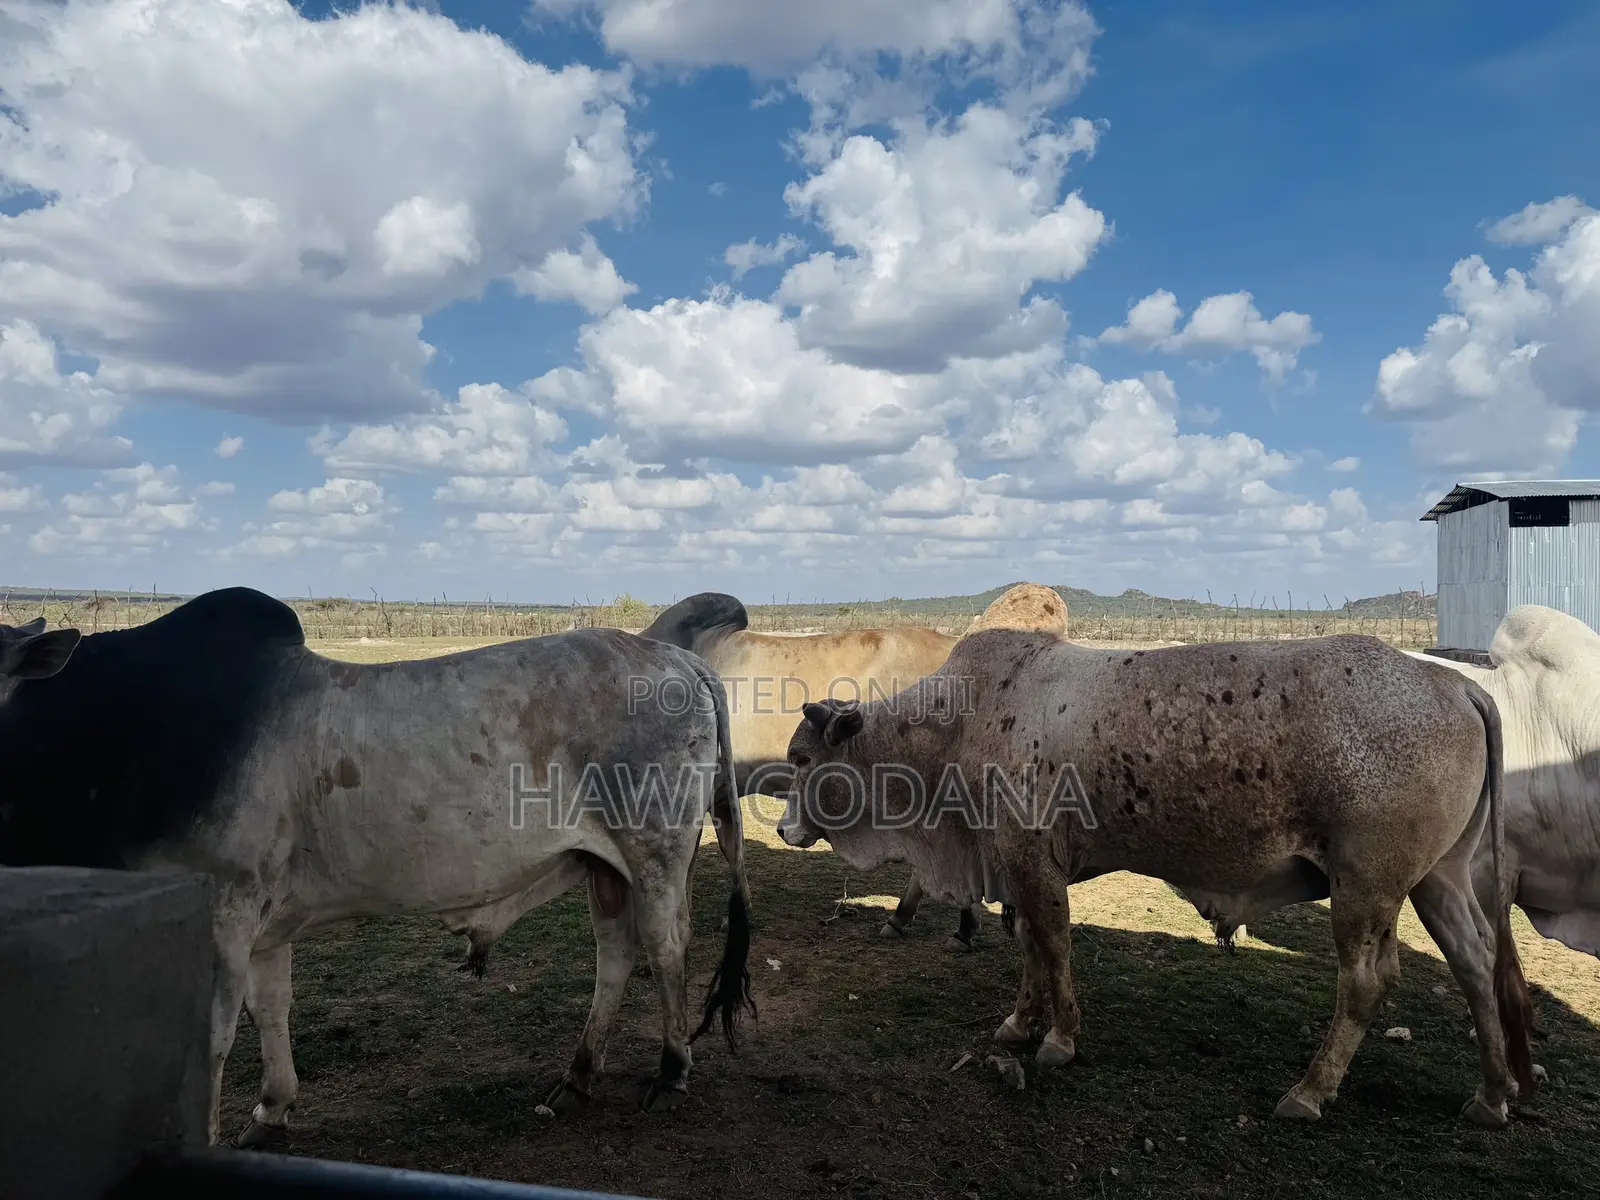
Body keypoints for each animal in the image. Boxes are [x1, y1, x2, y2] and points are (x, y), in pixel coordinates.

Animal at [0, 589, 755, 1148]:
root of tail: (676, 659)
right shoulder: (262, 921)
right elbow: (269, 1006)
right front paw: (272, 1108)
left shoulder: (222, 908)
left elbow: (210, 1038)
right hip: (606, 867)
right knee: (616, 955)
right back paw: (576, 1078)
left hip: (654, 851)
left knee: (666, 947)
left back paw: (670, 1071)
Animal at [776, 628, 1538, 1126]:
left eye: (804, 759)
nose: (783, 829)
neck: (960, 722)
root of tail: (1457, 683)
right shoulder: (1018, 868)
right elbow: (1030, 951)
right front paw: (1020, 1023)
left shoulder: (1034, 865)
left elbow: (1054, 948)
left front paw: (1059, 1039)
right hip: (1437, 878)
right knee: (1476, 961)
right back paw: (1493, 1093)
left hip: (1366, 885)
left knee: (1367, 981)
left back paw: (1310, 1091)